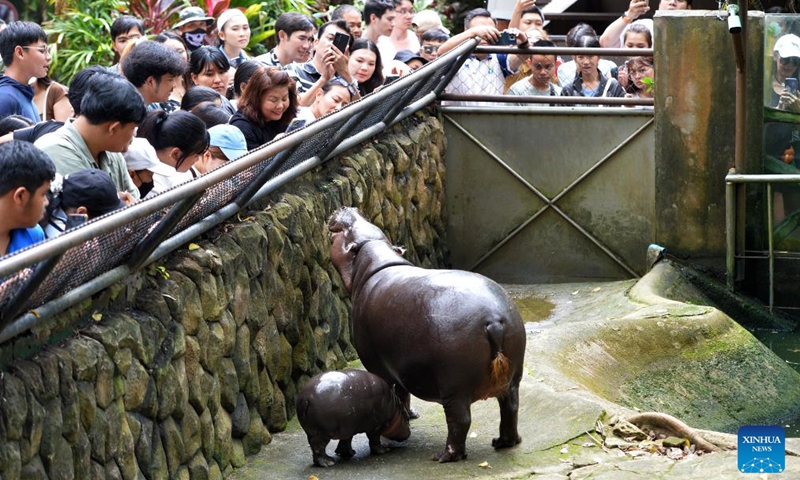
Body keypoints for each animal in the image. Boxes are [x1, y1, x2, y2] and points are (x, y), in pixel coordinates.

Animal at [328, 207, 526, 462]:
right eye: (365, 219)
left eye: (346, 230)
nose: (347, 208)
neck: (373, 258)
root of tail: (493, 319)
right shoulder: (397, 366)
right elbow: (402, 394)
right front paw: (410, 415)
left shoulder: (378, 366)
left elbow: (393, 392)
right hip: (513, 375)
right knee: (510, 407)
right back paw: (503, 442)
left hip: (454, 388)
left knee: (460, 420)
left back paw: (444, 456)